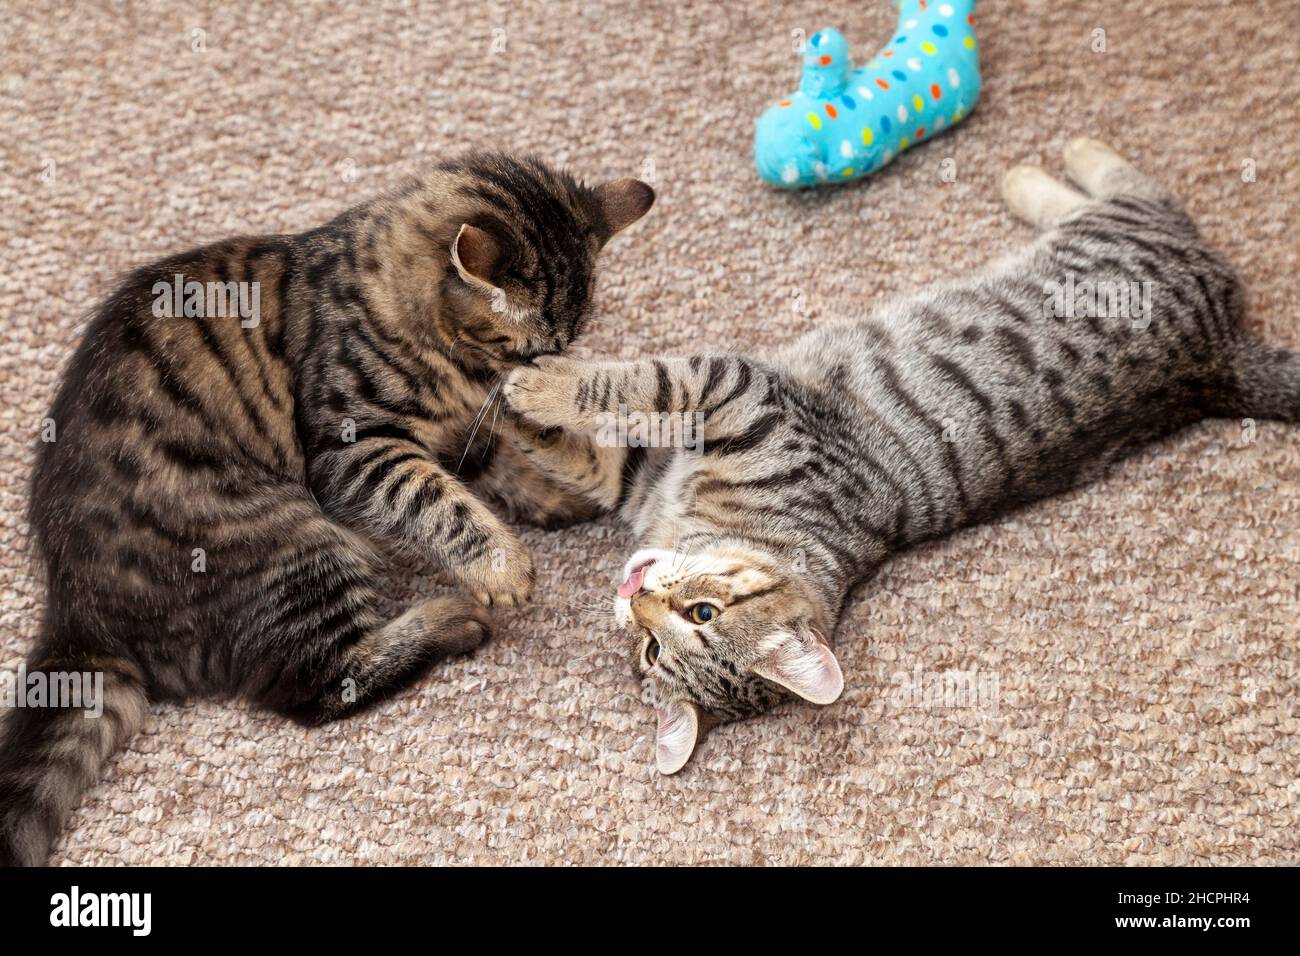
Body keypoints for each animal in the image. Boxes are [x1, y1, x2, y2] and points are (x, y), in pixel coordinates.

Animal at [0, 151, 650, 868]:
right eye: (521, 347)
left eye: (560, 346)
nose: (539, 374)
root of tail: (76, 608)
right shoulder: (354, 448)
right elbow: (439, 499)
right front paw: (501, 564)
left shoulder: (457, 426)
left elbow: (493, 462)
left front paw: (554, 490)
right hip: (294, 539)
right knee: (318, 687)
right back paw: (452, 619)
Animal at [499, 138, 1300, 775]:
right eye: (651, 654)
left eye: (699, 616)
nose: (636, 600)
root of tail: (1220, 364)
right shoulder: (641, 471)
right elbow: (578, 448)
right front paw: (510, 414)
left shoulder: (741, 395)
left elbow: (637, 380)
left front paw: (535, 384)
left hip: (1121, 237)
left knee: (1142, 190)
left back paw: (1050, 163)